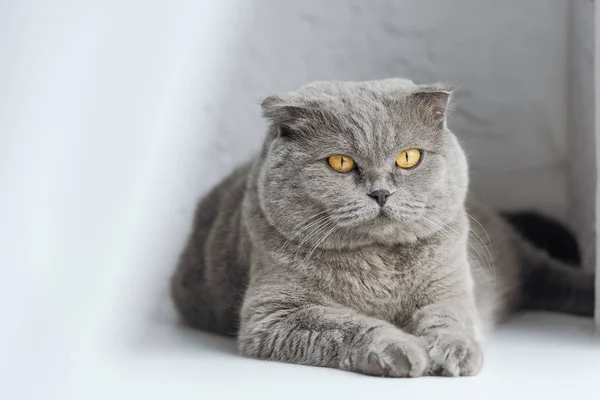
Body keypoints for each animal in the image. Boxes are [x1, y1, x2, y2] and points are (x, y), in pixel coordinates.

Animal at [171, 79, 592, 378]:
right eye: (340, 162)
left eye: (408, 157)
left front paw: (453, 352)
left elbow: (451, 318)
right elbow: (345, 325)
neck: (380, 263)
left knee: (554, 276)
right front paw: (402, 350)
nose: (380, 192)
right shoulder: (274, 314)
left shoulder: (451, 284)